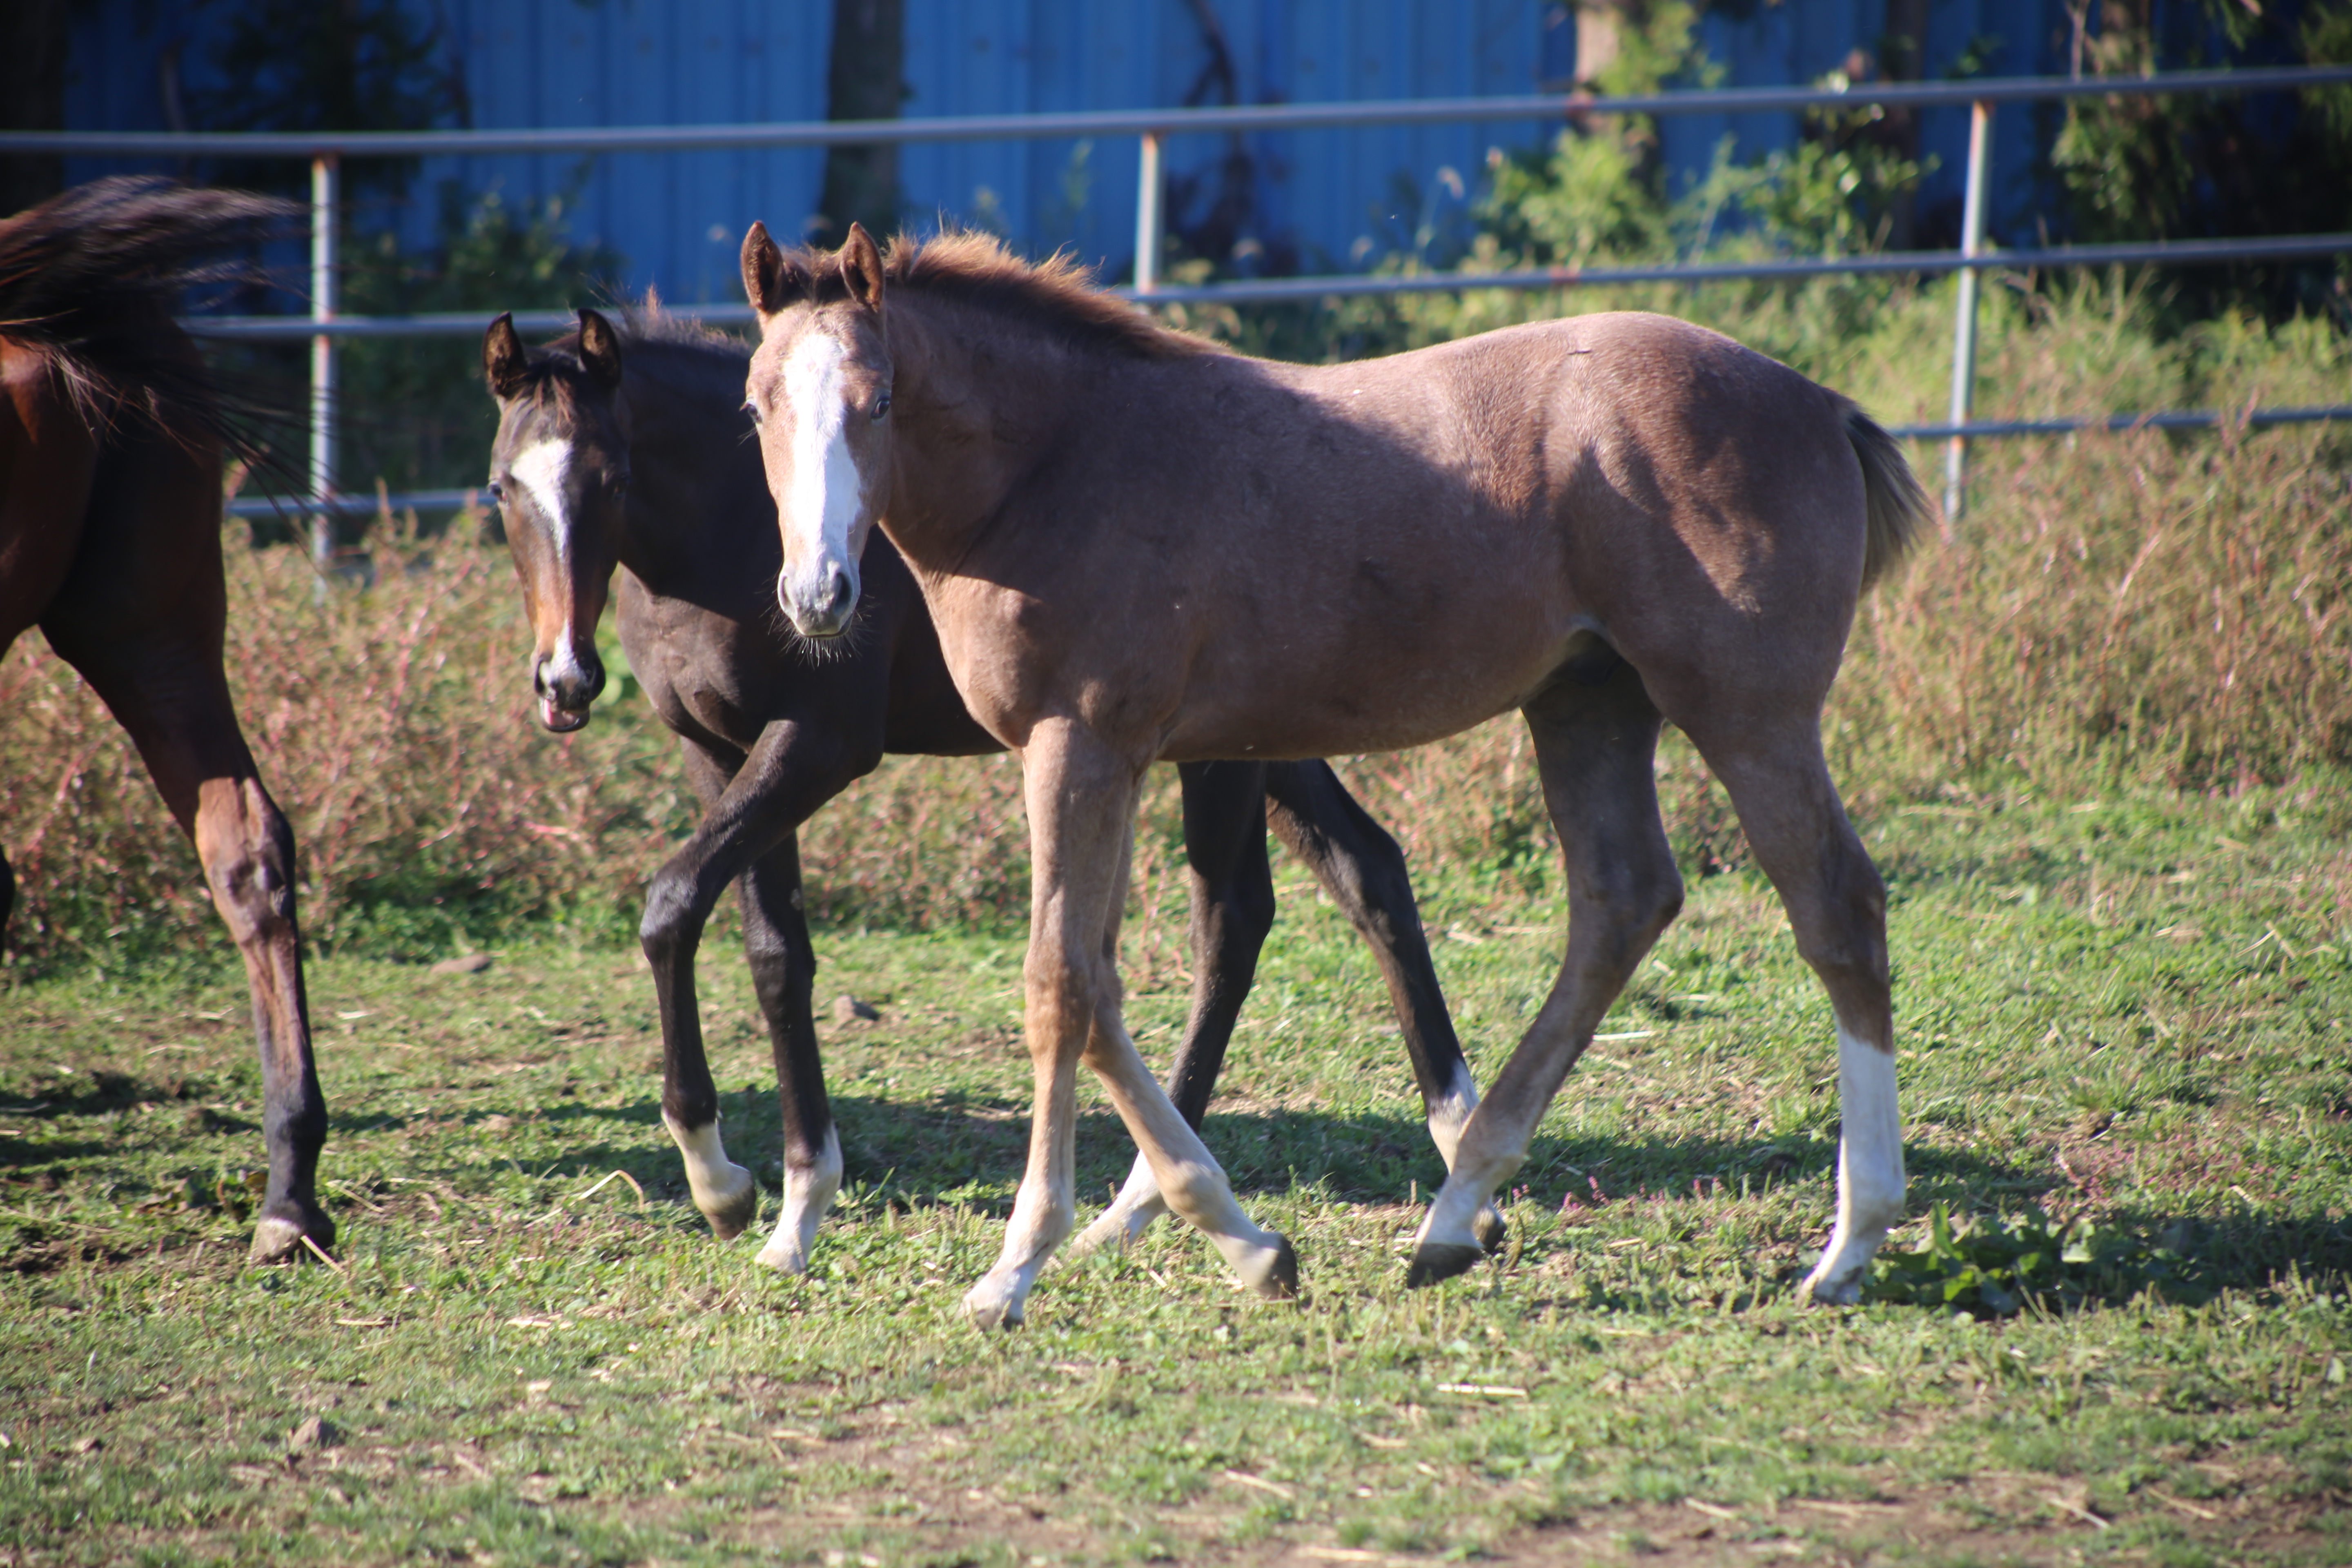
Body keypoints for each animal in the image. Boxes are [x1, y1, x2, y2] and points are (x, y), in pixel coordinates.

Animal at [484, 303, 1496, 1278]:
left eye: (614, 480)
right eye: (502, 489)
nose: (565, 680)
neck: (728, 536)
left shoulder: (820, 745)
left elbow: (673, 904)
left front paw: (720, 1177)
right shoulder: (716, 750)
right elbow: (773, 953)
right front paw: (791, 1209)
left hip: (1219, 752)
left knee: (1235, 922)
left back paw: (1160, 1201)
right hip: (1261, 737)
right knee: (1367, 869)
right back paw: (1454, 1147)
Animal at [738, 221, 1929, 1326]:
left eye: (879, 401)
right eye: (756, 408)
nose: (817, 596)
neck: (1057, 467)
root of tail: (1820, 406)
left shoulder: (1078, 745)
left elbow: (1059, 986)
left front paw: (1017, 1267)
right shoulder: (1109, 756)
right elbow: (1100, 983)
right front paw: (1244, 1242)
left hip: (1746, 712)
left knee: (1836, 907)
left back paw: (1850, 1243)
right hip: (1588, 702)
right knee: (1622, 902)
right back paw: (1455, 1214)